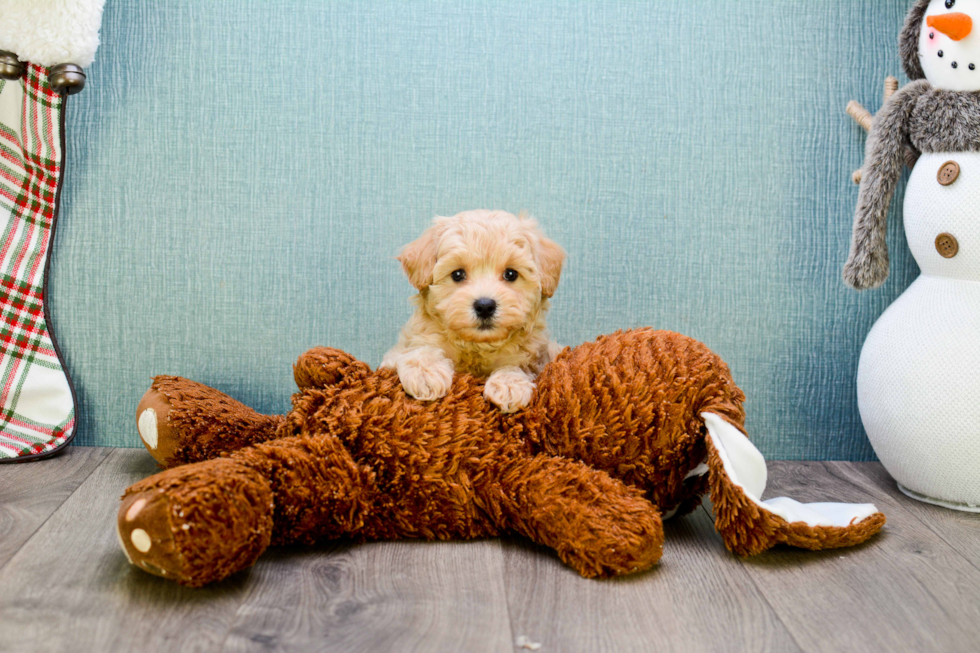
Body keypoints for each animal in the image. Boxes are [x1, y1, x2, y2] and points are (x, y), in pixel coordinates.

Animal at [382, 210, 568, 412]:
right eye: (457, 274)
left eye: (511, 274)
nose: (485, 306)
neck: (477, 346)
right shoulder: (399, 352)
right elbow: (418, 351)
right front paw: (425, 373)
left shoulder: (539, 360)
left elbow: (518, 366)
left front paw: (509, 384)